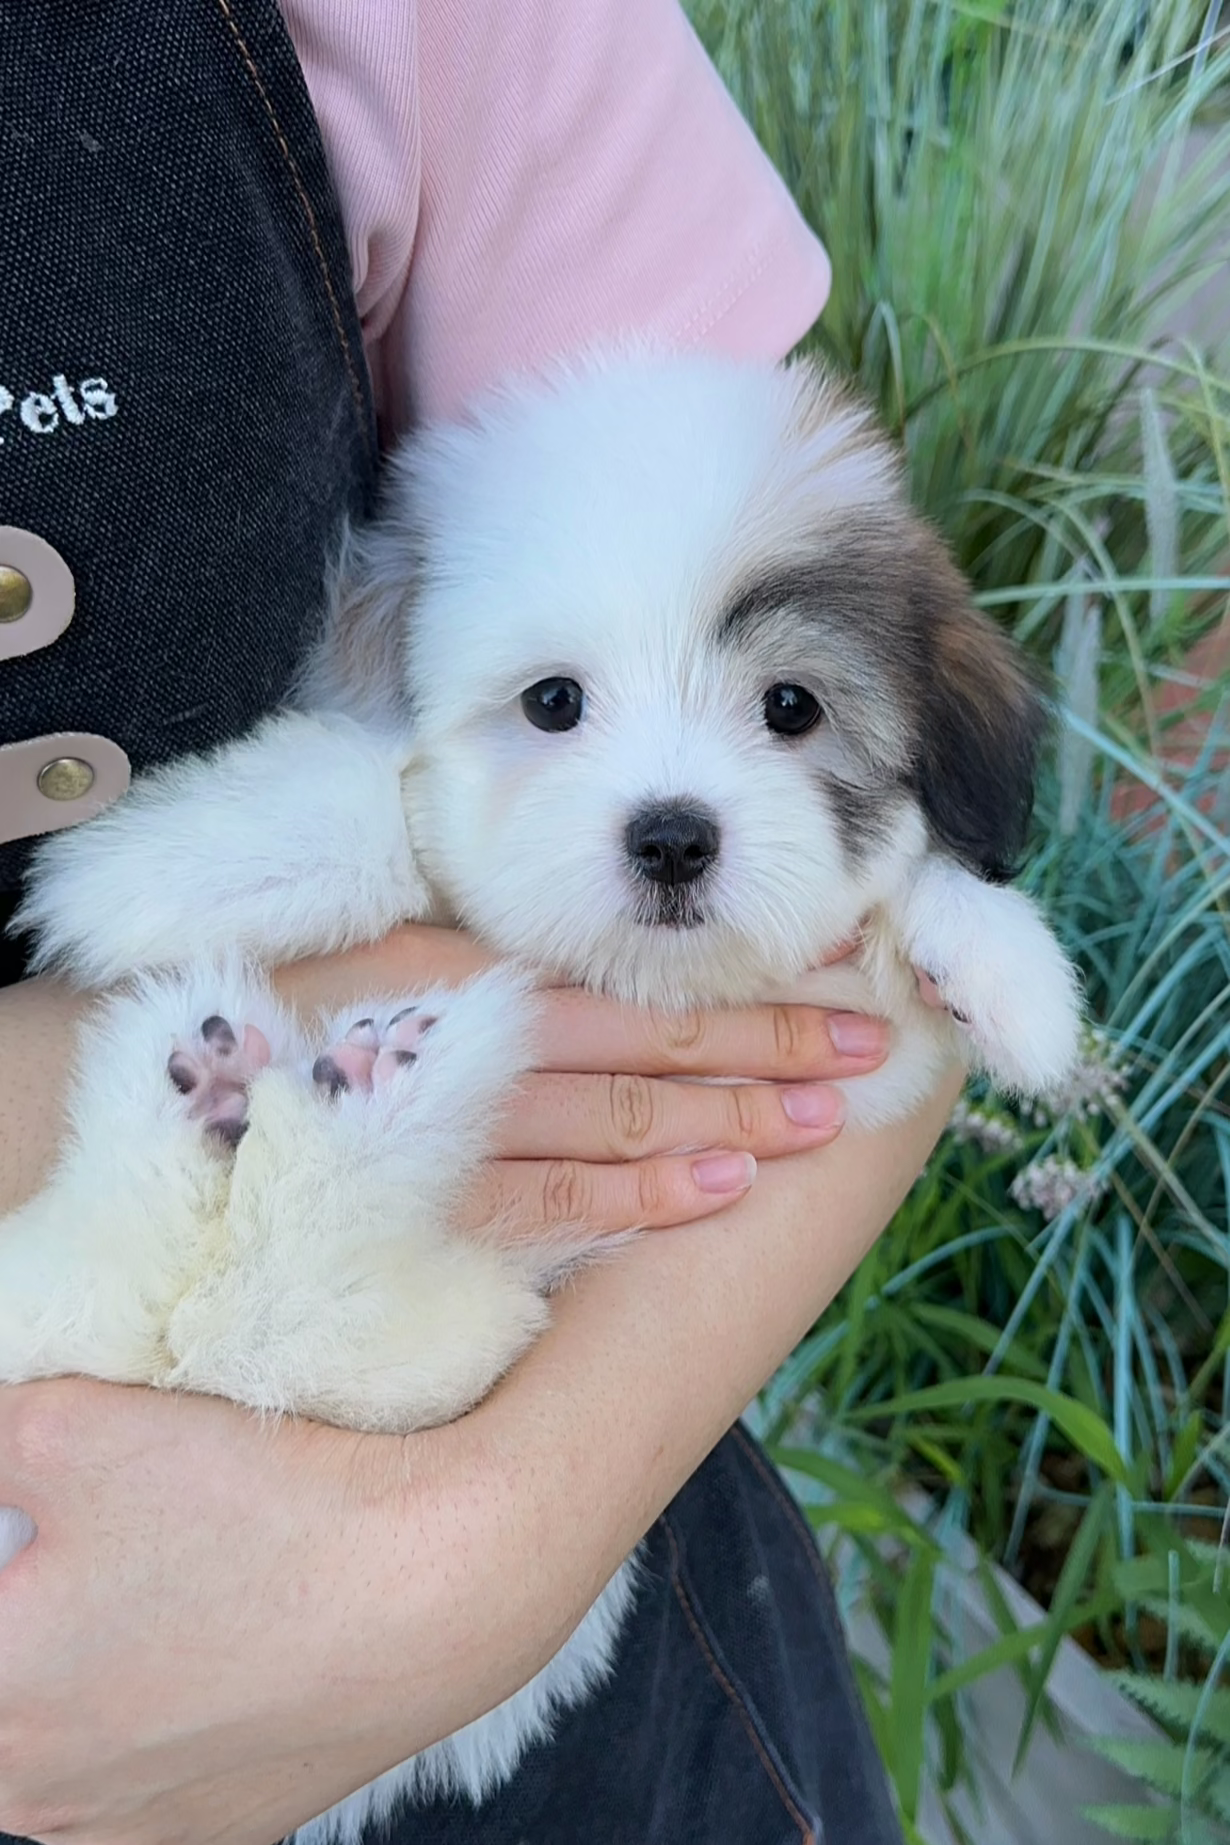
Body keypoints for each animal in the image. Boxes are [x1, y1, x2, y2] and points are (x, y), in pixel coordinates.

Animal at [2, 352, 1076, 1837]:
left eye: (790, 708)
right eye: (554, 703)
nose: (673, 835)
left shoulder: (836, 1069)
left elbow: (899, 939)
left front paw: (996, 964)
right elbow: (378, 810)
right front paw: (173, 859)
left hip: (414, 1334)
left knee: (275, 1303)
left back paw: (291, 1103)